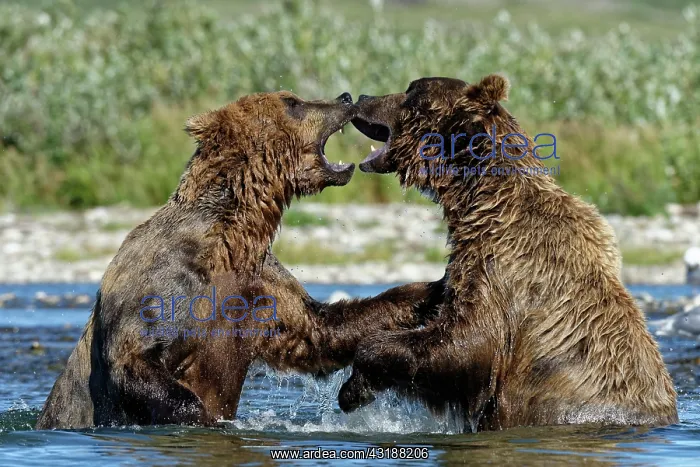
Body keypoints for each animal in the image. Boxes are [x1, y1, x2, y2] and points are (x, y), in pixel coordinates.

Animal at [35, 91, 444, 429]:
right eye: (293, 101)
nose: (345, 96)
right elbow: (136, 355)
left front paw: (432, 287)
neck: (234, 234)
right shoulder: (167, 278)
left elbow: (319, 331)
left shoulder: (260, 286)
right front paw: (203, 418)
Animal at [338, 75, 679, 431]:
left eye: (411, 91)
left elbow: (467, 343)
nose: (362, 97)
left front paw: (354, 386)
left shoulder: (506, 267)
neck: (481, 197)